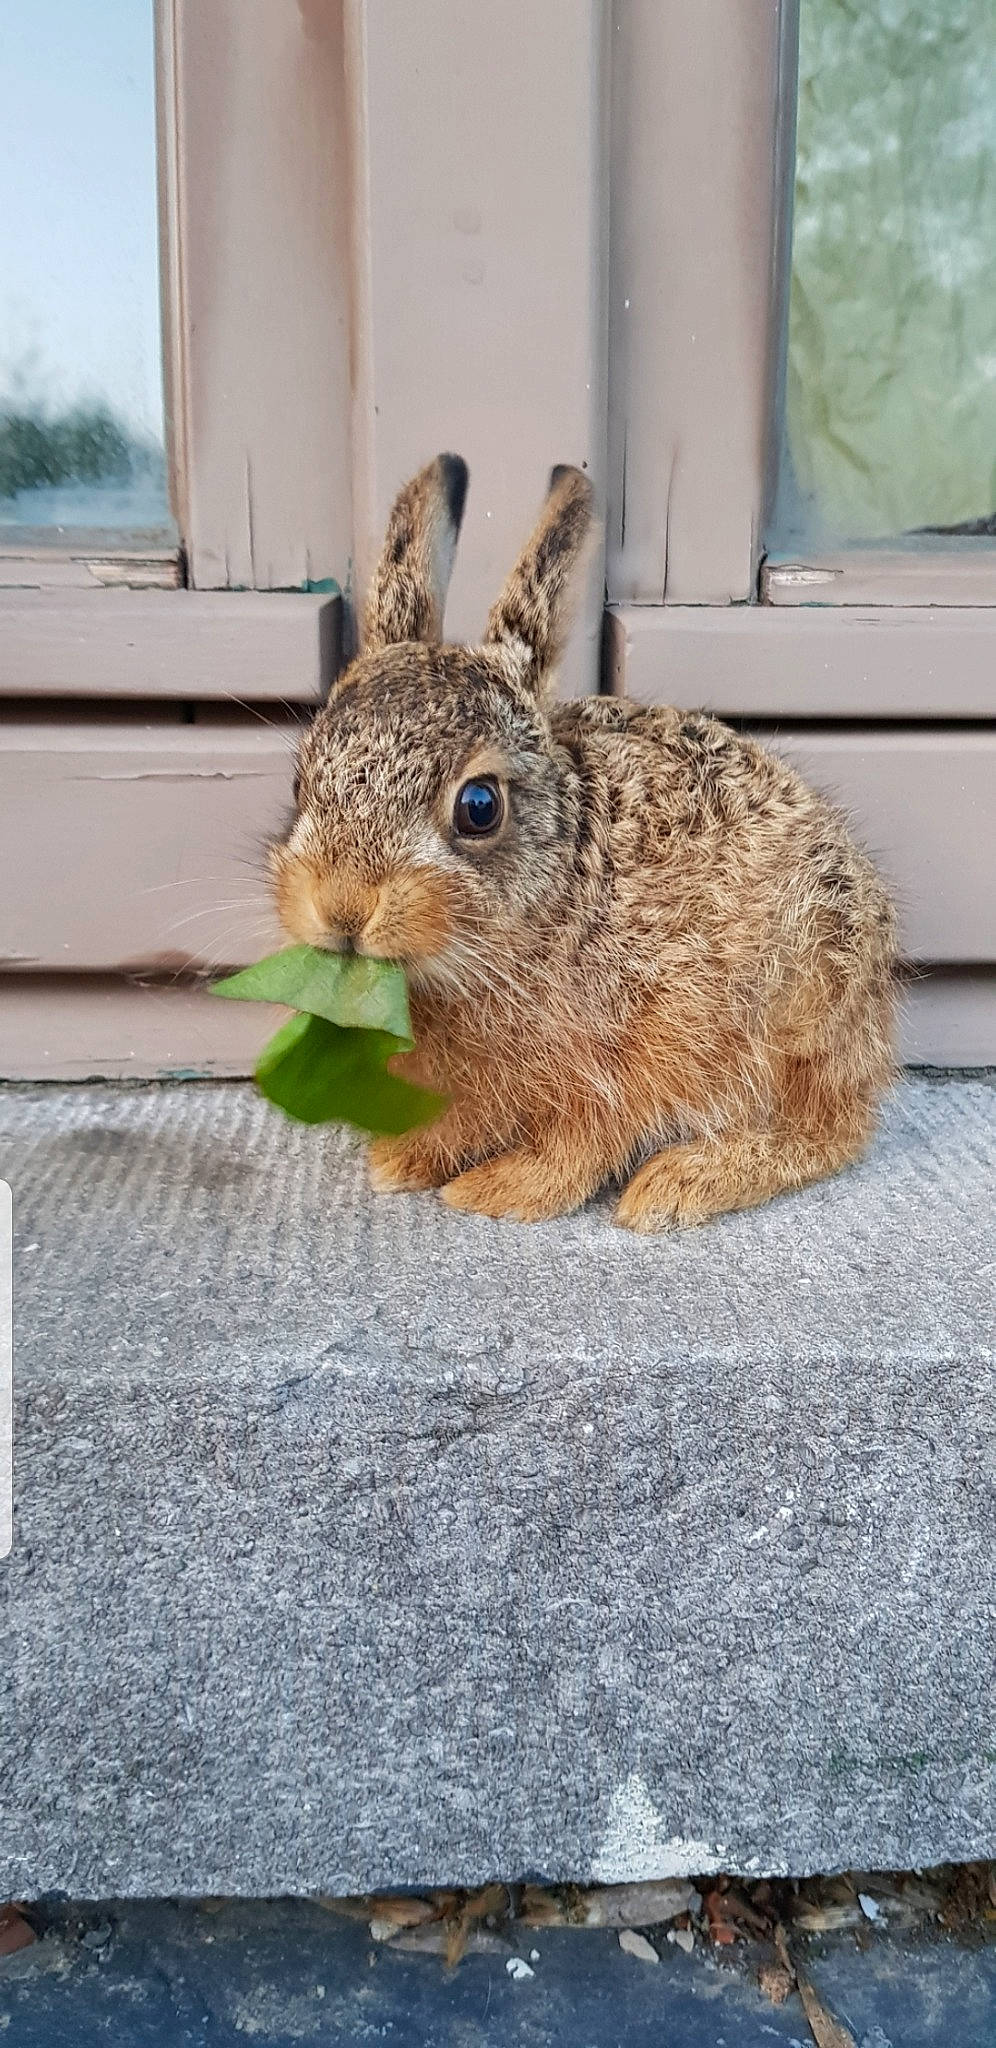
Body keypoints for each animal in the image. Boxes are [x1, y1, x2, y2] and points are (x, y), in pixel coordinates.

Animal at [271, 454, 897, 1228]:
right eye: (300, 782)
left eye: (479, 807)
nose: (344, 906)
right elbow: (462, 1121)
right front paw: (404, 1161)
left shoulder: (636, 1051)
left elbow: (582, 1140)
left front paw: (502, 1192)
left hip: (802, 997)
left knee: (828, 1131)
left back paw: (681, 1182)